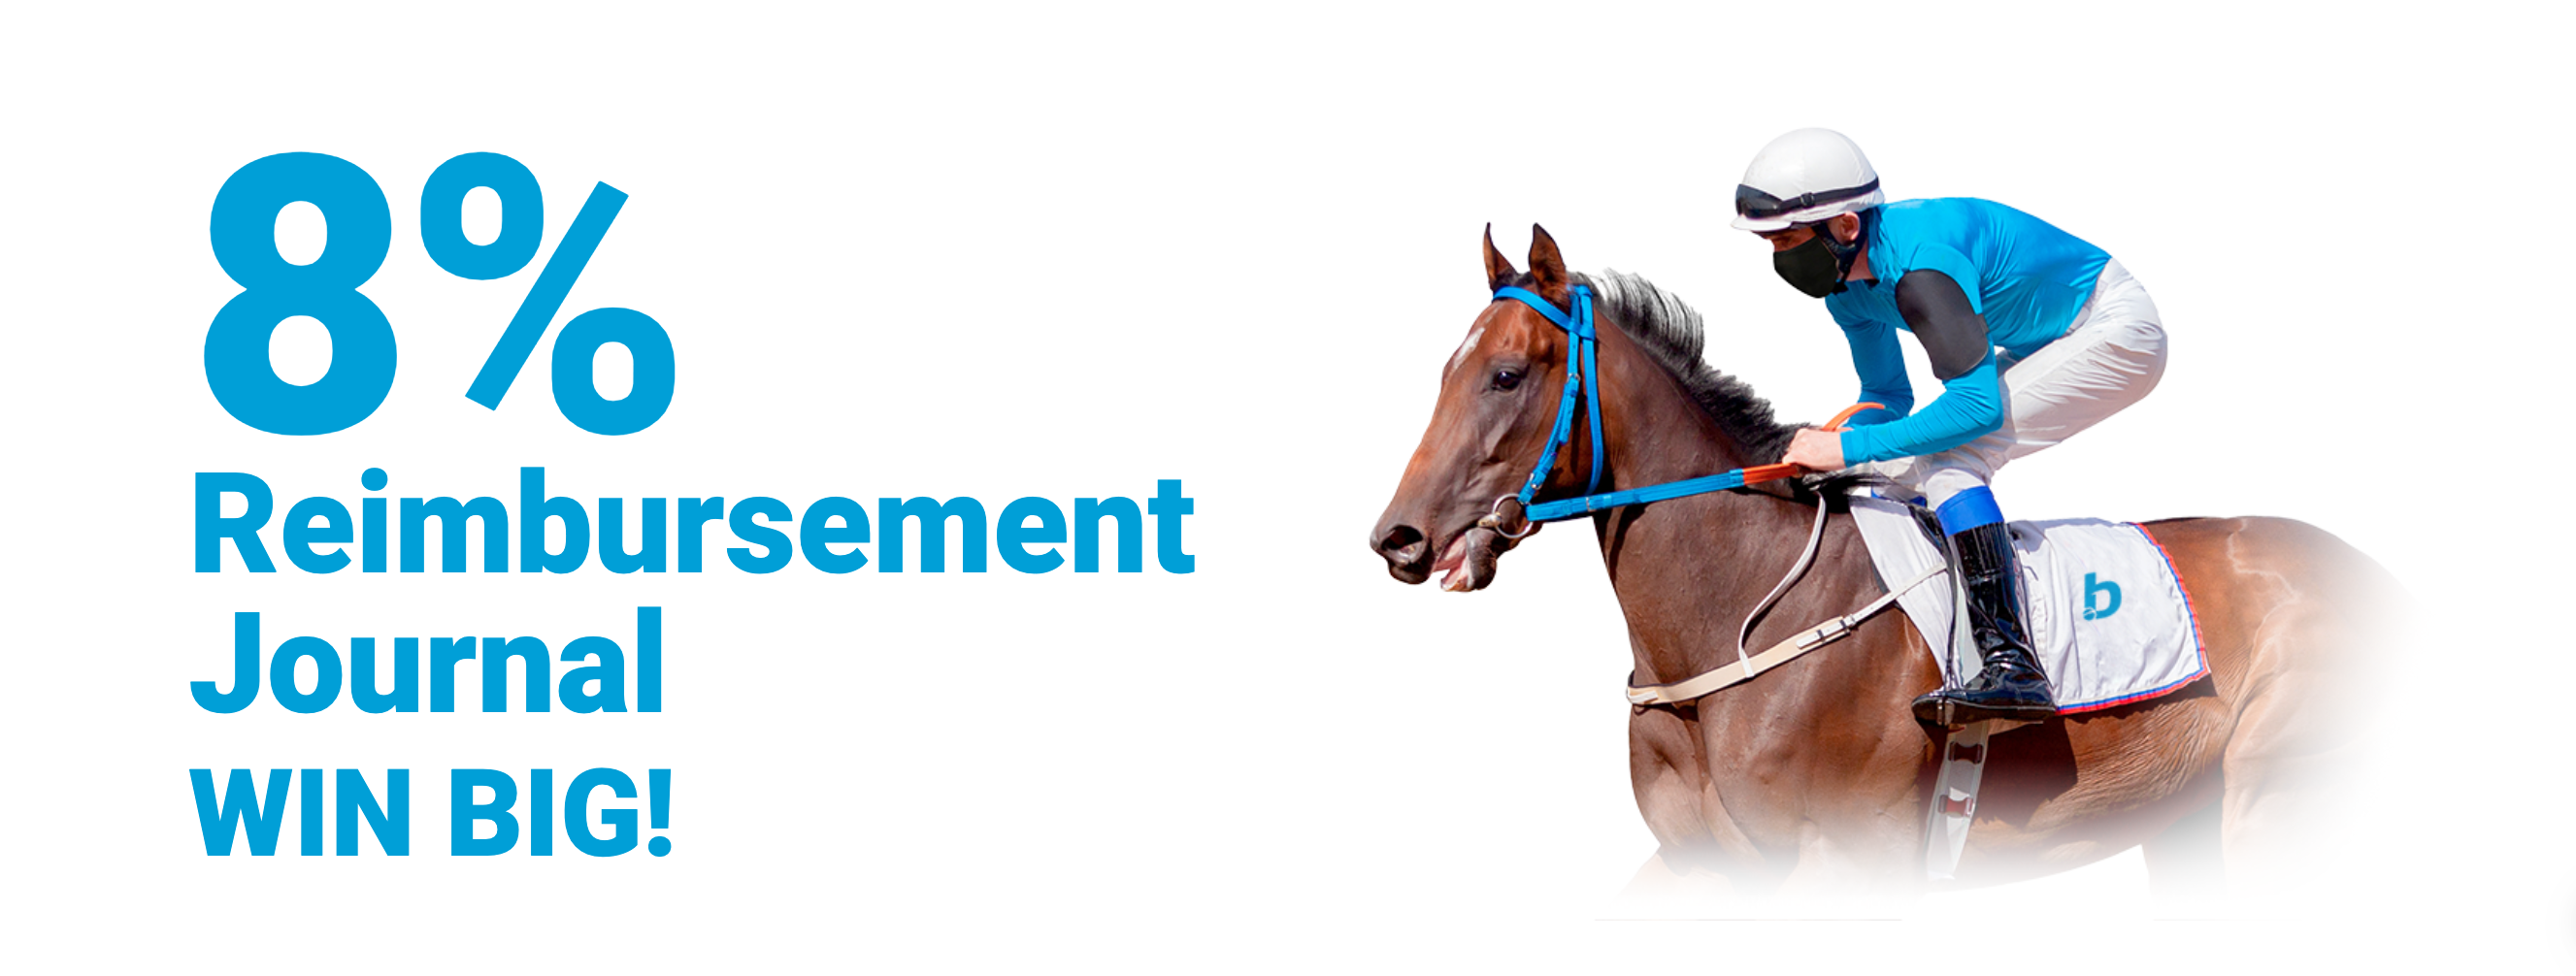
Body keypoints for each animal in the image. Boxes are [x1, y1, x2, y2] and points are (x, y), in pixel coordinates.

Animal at [1368, 225, 2390, 902]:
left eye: (1506, 376)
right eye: (1445, 372)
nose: (1398, 539)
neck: (1732, 622)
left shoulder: (1844, 856)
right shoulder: (1698, 861)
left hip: (2278, 796)